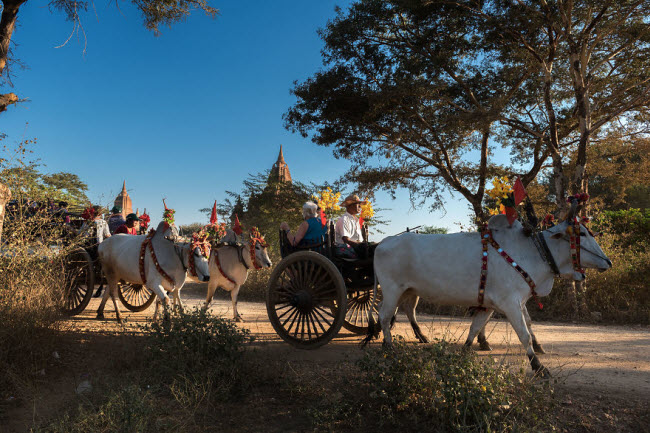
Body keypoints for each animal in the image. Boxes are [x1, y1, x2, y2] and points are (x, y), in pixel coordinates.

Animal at [368, 206, 612, 374]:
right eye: (581, 234)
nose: (608, 262)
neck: (530, 251)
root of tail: (382, 243)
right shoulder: (510, 303)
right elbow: (524, 335)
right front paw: (539, 367)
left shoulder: (494, 304)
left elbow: (476, 328)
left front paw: (467, 350)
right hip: (391, 289)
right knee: (384, 315)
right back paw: (388, 346)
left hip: (408, 291)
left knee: (404, 311)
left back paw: (416, 337)